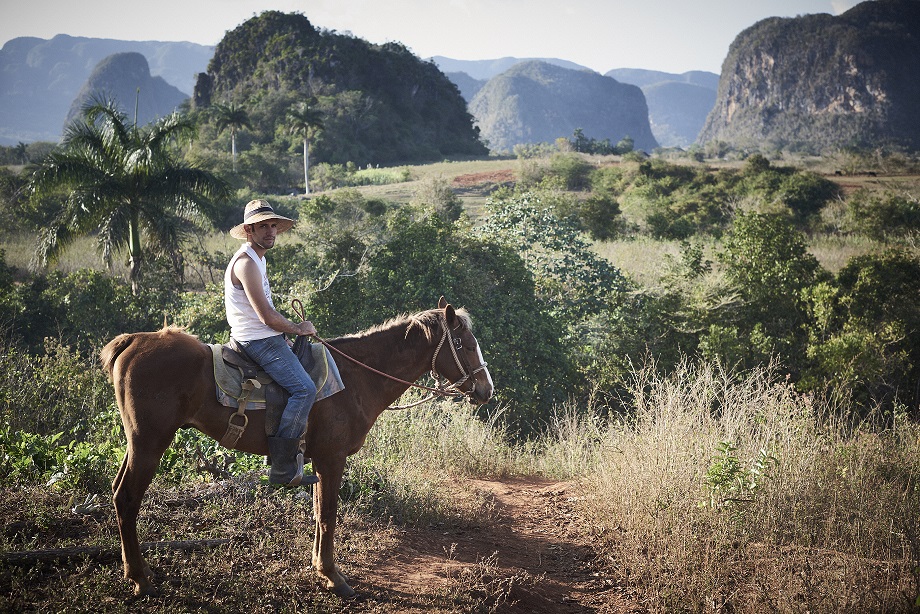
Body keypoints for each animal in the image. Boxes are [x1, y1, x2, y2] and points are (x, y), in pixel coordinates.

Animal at [97, 298, 492, 596]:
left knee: (118, 493)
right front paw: (334, 577)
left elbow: (318, 513)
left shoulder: (318, 460)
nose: (486, 390)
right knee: (127, 498)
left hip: (137, 443)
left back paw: (138, 571)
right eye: (465, 345)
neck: (356, 377)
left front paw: (320, 568)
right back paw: (140, 579)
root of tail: (132, 342)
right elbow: (329, 514)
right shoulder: (332, 458)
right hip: (150, 442)